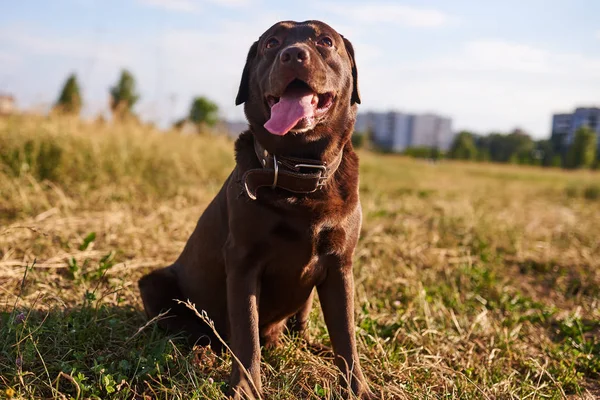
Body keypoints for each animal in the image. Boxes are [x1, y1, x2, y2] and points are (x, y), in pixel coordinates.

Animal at [140, 20, 372, 398]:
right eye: (271, 43)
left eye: (325, 41)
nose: (293, 54)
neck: (299, 171)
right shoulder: (243, 262)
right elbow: (246, 333)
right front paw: (245, 388)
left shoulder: (340, 265)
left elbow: (345, 335)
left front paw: (357, 389)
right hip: (155, 283)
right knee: (189, 329)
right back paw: (202, 352)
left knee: (300, 326)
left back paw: (310, 346)